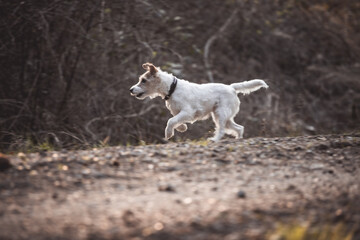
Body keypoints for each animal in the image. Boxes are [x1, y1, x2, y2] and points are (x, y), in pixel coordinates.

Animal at [129, 62, 268, 142]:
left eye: (144, 80)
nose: (131, 90)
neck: (172, 88)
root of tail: (232, 88)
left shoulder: (187, 112)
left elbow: (171, 121)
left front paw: (168, 133)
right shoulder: (178, 113)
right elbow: (175, 121)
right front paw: (182, 128)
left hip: (220, 114)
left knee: (222, 129)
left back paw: (214, 139)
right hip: (223, 117)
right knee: (239, 128)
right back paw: (238, 139)